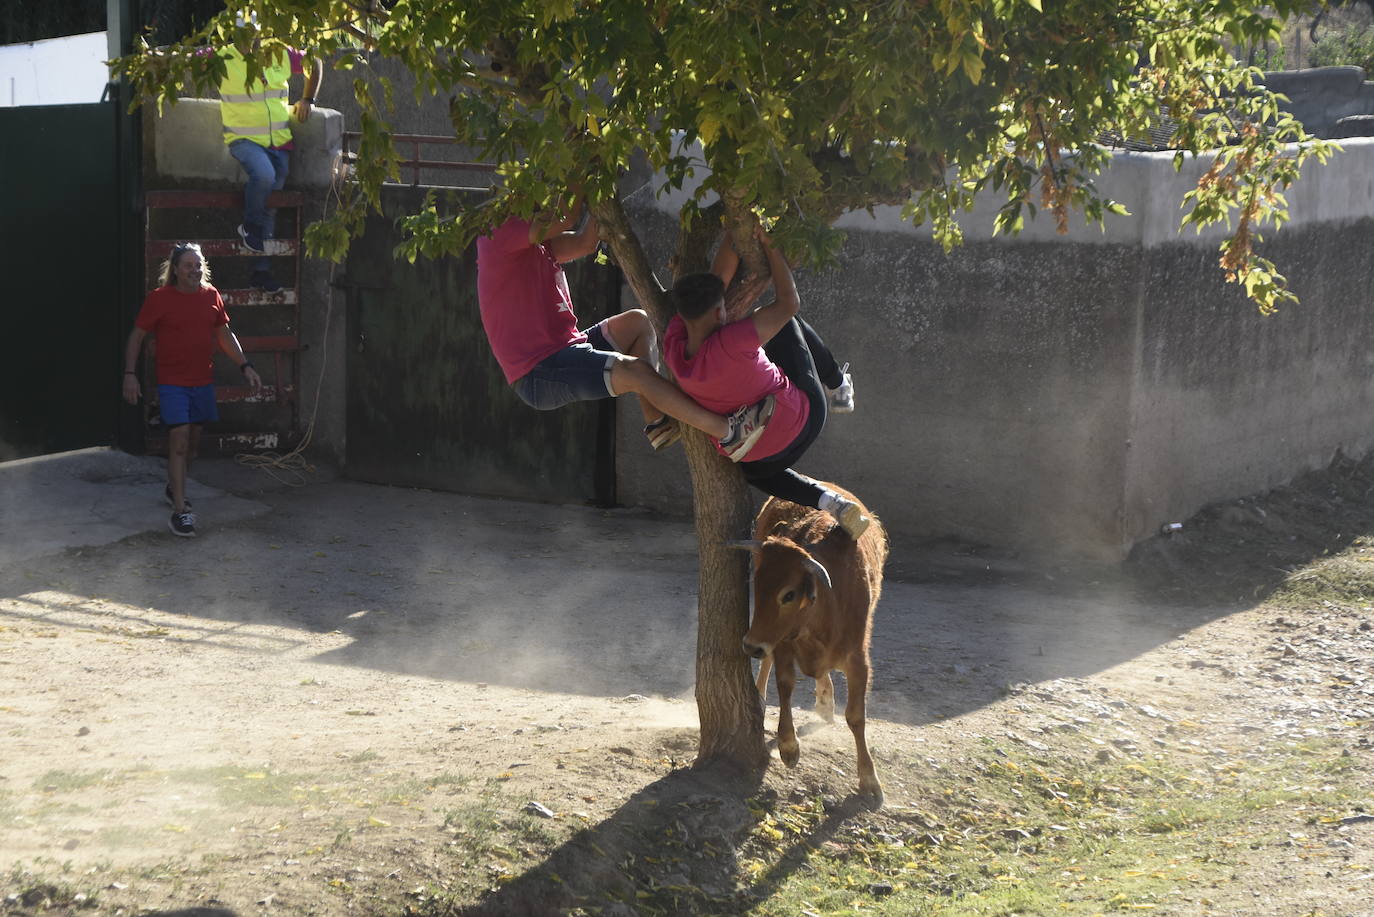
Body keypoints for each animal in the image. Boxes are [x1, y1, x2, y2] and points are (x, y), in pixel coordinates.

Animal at [736, 483, 884, 808]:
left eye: (789, 595)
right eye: (757, 585)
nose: (750, 646)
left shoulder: (859, 659)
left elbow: (856, 716)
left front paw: (869, 779)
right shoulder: (782, 643)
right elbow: (785, 685)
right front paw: (788, 746)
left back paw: (825, 702)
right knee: (770, 665)